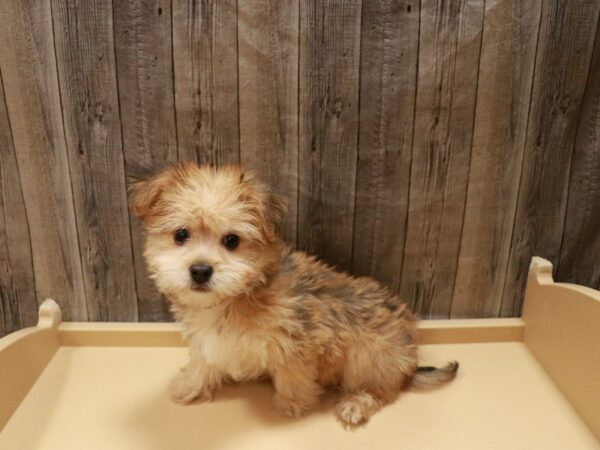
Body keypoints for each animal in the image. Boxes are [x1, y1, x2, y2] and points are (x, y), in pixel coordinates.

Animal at [131, 163, 458, 426]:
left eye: (231, 240)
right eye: (180, 235)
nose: (200, 270)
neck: (238, 296)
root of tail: (409, 359)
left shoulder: (298, 342)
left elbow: (292, 375)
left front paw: (292, 404)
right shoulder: (207, 339)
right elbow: (203, 362)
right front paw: (189, 386)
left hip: (368, 358)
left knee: (380, 391)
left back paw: (356, 403)